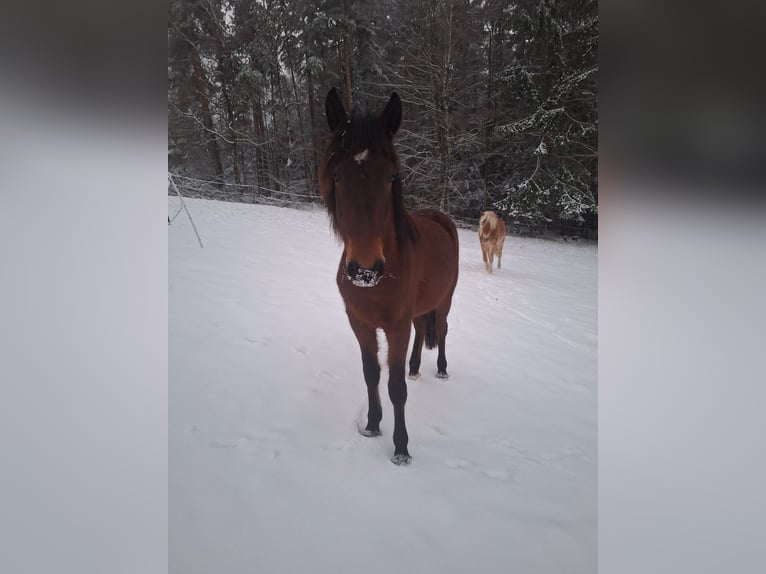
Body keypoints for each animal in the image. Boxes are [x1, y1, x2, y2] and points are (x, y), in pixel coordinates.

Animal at [320, 90, 462, 468]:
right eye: (337, 177)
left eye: (389, 177)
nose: (364, 270)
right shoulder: (360, 322)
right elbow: (372, 373)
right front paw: (372, 425)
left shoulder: (395, 325)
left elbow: (396, 387)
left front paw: (401, 449)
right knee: (421, 329)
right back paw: (415, 366)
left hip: (445, 300)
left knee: (441, 329)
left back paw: (441, 369)